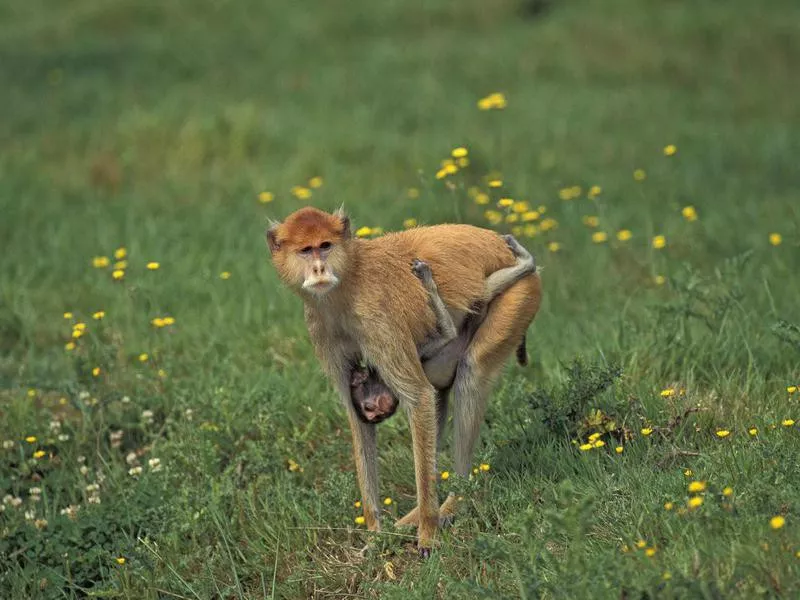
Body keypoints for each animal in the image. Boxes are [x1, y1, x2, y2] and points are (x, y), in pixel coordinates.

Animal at [352, 232, 536, 424]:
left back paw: (527, 263)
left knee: (482, 294)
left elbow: (447, 334)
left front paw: (428, 282)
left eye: (369, 408)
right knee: (482, 298)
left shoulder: (418, 352)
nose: (375, 415)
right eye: (372, 413)